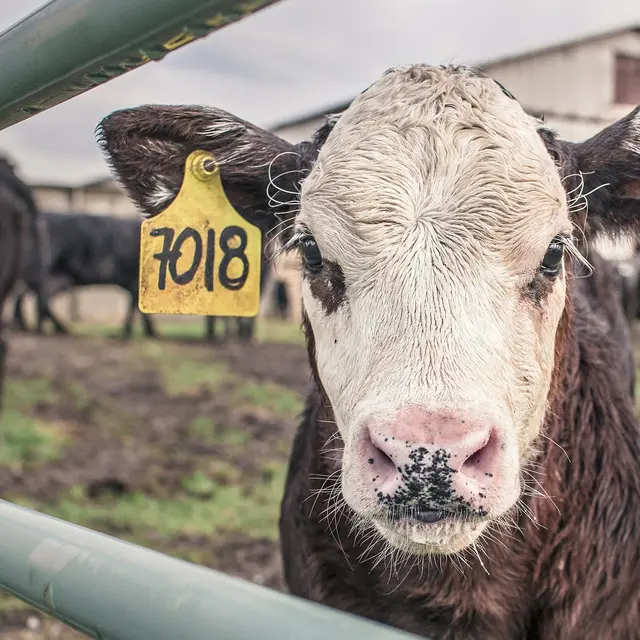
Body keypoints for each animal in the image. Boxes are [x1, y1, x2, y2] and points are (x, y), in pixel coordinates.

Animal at [13, 211, 156, 338]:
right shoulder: (134, 281)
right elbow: (135, 305)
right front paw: (140, 333)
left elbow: (135, 305)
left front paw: (146, 333)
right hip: (51, 274)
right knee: (37, 299)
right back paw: (55, 329)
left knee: (29, 296)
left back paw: (32, 327)